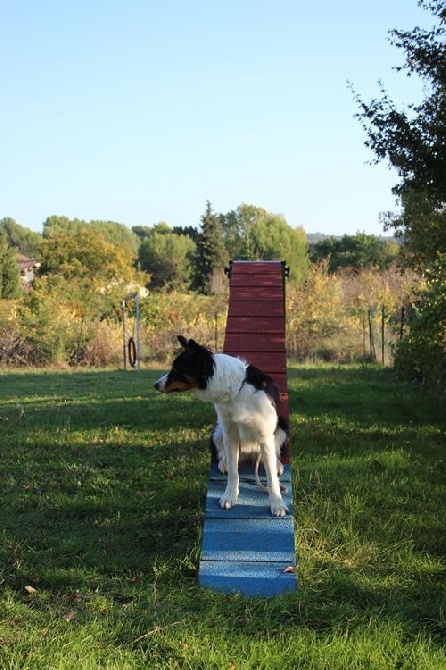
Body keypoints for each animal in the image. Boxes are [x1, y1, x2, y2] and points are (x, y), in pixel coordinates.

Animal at [154, 336, 290, 520]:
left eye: (177, 368)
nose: (155, 385)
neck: (237, 390)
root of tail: (250, 453)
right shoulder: (229, 433)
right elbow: (234, 471)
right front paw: (230, 497)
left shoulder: (265, 436)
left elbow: (271, 478)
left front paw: (277, 503)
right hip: (217, 431)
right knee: (225, 455)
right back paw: (224, 463)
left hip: (281, 428)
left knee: (272, 456)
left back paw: (277, 464)